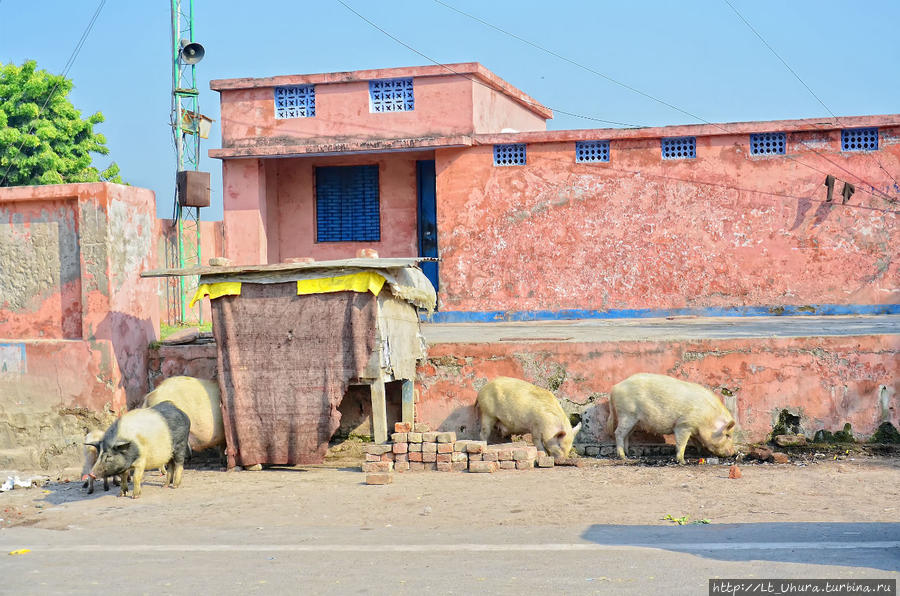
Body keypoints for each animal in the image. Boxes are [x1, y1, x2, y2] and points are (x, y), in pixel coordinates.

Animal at [608, 372, 736, 466]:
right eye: (727, 435)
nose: (733, 452)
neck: (707, 418)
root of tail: (614, 388)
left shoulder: (694, 429)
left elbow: (697, 442)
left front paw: (702, 453)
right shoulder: (683, 425)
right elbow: (681, 443)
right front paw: (682, 461)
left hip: (634, 421)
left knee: (627, 435)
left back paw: (628, 454)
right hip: (626, 414)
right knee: (618, 433)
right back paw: (623, 457)